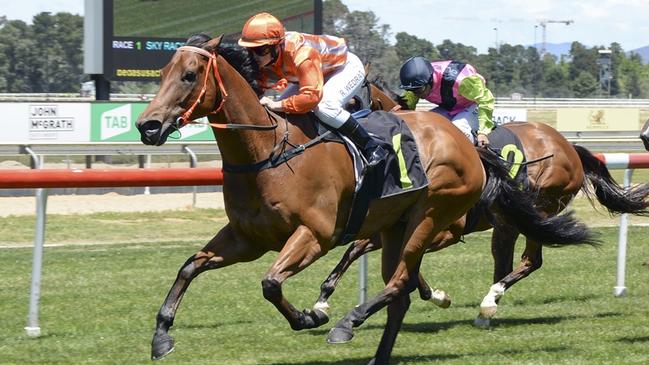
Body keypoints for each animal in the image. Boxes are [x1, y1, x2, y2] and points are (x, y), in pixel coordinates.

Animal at [134, 34, 596, 364]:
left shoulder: (316, 234)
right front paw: (161, 337)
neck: (269, 153)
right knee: (404, 288)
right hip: (404, 227)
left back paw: (355, 322)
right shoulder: (247, 238)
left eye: (189, 75)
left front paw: (311, 314)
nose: (148, 126)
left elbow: (271, 283)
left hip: (434, 217)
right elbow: (190, 266)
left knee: (413, 280)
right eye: (162, 73)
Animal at [316, 79, 648, 328]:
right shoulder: (392, 227)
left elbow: (406, 263)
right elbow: (356, 250)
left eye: (351, 103)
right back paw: (487, 310)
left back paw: (489, 301)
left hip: (540, 208)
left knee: (531, 261)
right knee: (505, 264)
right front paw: (322, 301)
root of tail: (569, 146)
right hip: (506, 224)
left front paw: (435, 295)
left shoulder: (444, 232)